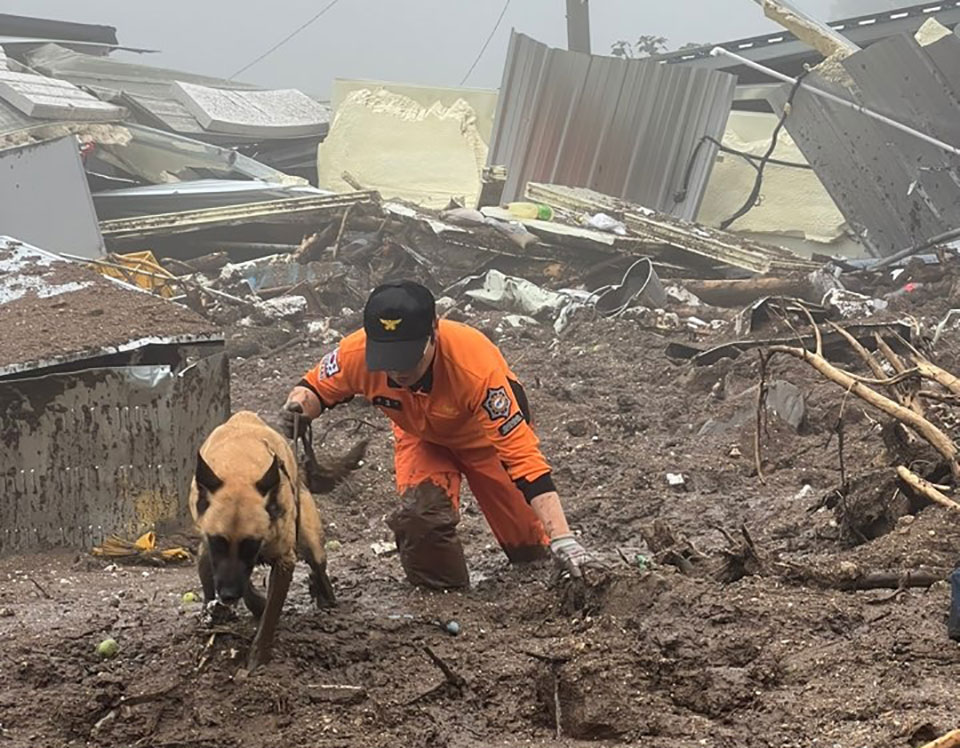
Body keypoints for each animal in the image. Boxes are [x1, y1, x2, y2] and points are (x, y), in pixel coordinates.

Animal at [188, 412, 342, 668]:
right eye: (218, 542)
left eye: (251, 545)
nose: (228, 595)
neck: (239, 470)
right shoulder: (211, 548)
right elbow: (245, 586)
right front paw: (253, 604)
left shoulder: (284, 561)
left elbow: (270, 613)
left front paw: (258, 657)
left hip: (311, 544)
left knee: (319, 570)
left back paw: (325, 598)